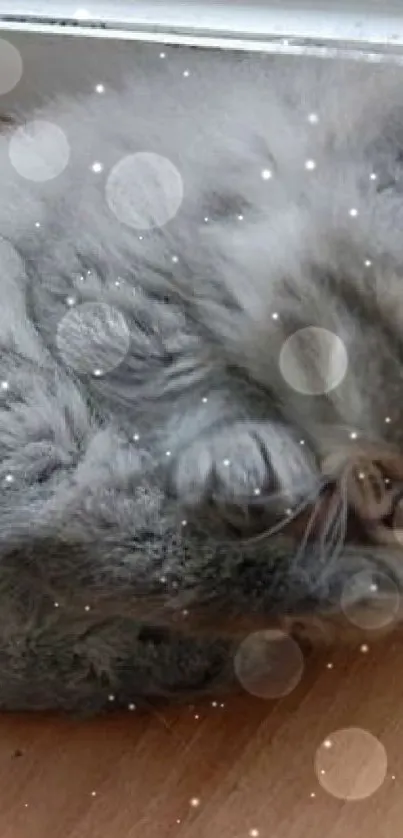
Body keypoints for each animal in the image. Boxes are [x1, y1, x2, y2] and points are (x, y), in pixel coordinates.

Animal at [0, 46, 403, 712]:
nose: (397, 508)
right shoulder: (114, 276)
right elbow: (193, 390)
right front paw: (253, 460)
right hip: (44, 443)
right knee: (165, 566)